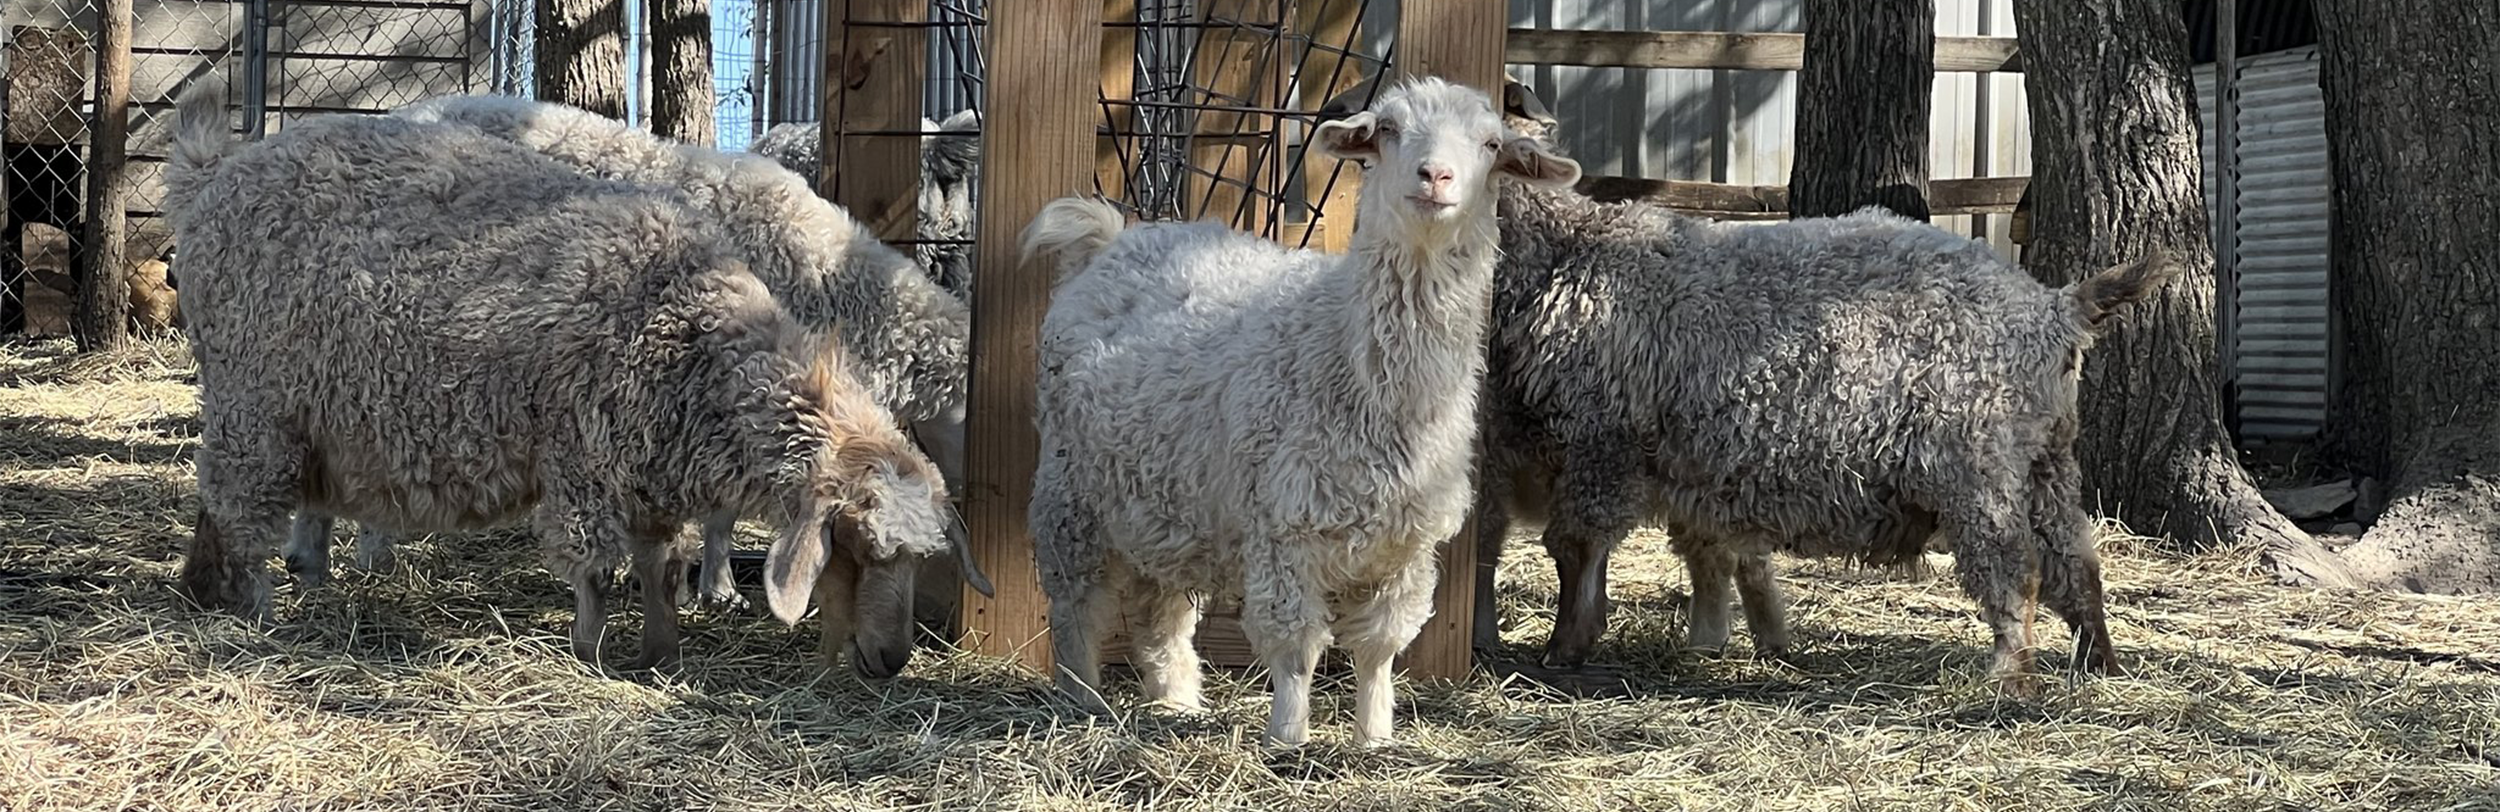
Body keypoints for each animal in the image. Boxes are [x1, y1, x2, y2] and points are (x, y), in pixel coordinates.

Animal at [1020, 76, 1582, 747]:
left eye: (1491, 144)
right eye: (1387, 129)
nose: (1435, 176)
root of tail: (1114, 240)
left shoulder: (1409, 544)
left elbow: (1379, 647)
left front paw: (1375, 736)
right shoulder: (1285, 529)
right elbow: (1295, 647)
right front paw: (1288, 737)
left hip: (1167, 498)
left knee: (1163, 609)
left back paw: (1178, 703)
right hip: (1070, 487)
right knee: (1074, 600)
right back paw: (1083, 701)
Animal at [1323, 76, 2170, 687]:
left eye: (1489, 141)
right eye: (1387, 129)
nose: (1435, 179)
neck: (1570, 255)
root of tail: (2055, 307)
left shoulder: (1601, 436)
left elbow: (1575, 547)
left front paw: (1565, 646)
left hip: (1977, 466)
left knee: (2016, 566)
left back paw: (2006, 673)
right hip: (2047, 461)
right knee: (2079, 564)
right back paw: (2098, 662)